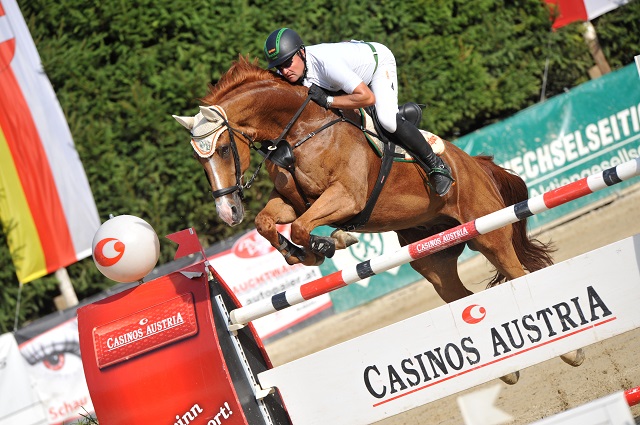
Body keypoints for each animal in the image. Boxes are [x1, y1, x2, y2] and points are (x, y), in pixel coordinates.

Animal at [172, 54, 584, 382]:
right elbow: (268, 223)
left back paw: (571, 351)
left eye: (224, 149)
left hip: (489, 233)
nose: (228, 213)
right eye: (197, 158)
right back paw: (508, 369)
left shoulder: (346, 196)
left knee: (518, 275)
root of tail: (475, 163)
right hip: (432, 258)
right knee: (462, 296)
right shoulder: (292, 200)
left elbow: (304, 226)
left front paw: (328, 243)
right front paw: (302, 254)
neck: (302, 129)